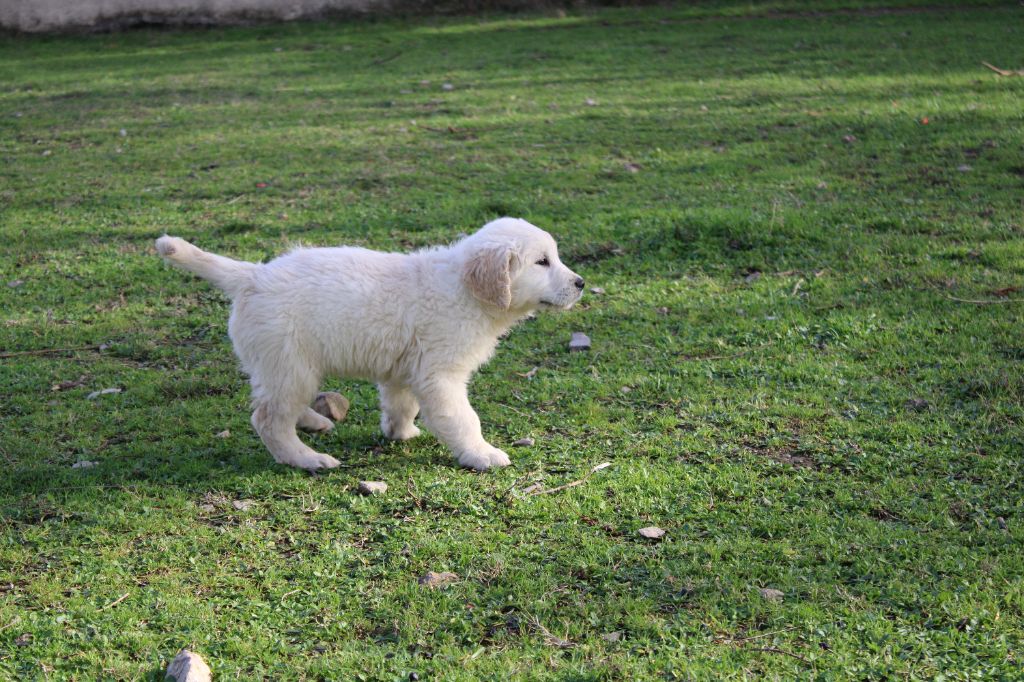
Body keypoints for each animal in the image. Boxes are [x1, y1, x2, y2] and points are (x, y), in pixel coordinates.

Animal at [153, 216, 585, 466]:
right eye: (542, 262)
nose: (581, 283)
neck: (463, 288)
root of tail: (253, 276)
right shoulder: (440, 374)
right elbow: (464, 418)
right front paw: (482, 454)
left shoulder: (404, 368)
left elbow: (401, 404)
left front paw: (400, 432)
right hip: (291, 362)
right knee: (268, 419)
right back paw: (307, 459)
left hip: (281, 366)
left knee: (274, 405)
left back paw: (311, 421)